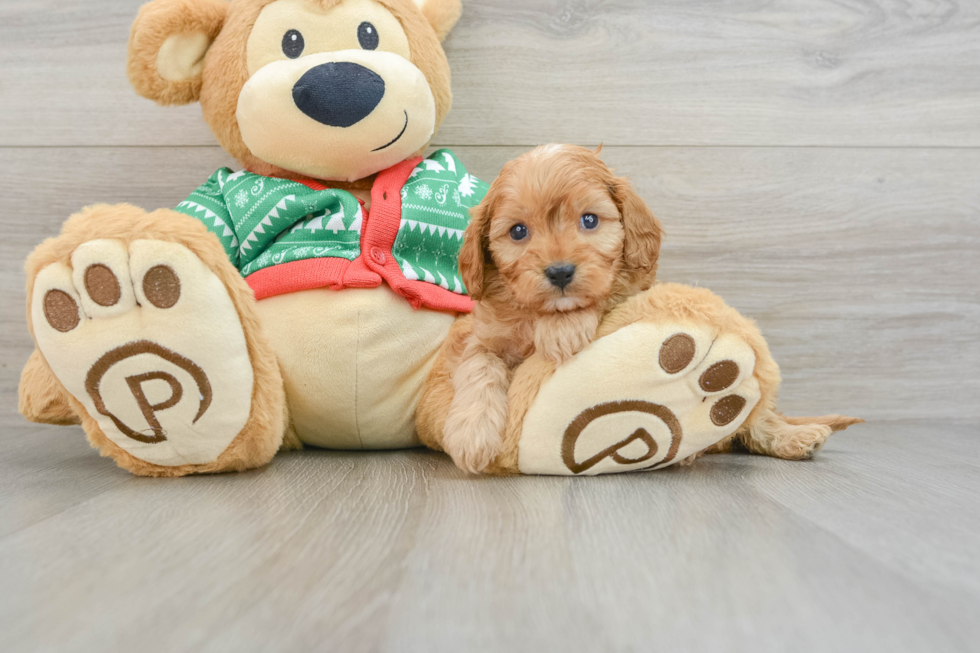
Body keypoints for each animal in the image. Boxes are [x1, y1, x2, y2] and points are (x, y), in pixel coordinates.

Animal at [444, 145, 668, 472]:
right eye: (518, 231)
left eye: (590, 220)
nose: (560, 272)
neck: (537, 314)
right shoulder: (482, 338)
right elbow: (478, 367)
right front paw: (472, 434)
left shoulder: (629, 290)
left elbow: (606, 293)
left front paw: (562, 329)